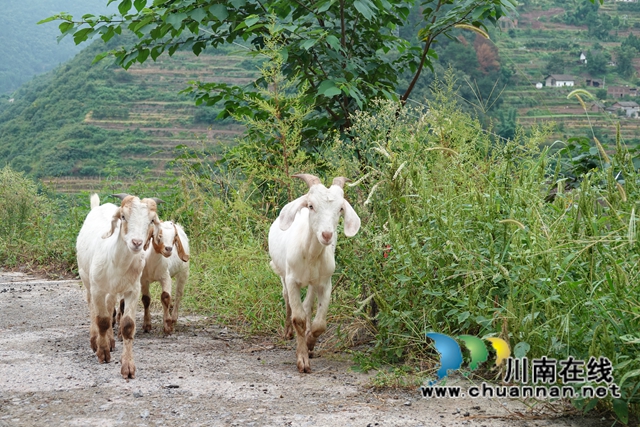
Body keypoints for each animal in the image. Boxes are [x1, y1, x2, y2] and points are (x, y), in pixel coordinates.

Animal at [76, 192, 161, 380]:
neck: (116, 261)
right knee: (92, 306)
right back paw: (95, 340)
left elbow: (127, 325)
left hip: (113, 290)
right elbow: (101, 320)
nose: (136, 242)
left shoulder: (132, 290)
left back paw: (110, 340)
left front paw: (128, 367)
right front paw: (103, 353)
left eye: (151, 220)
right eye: (123, 216)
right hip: (86, 278)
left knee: (109, 307)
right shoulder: (98, 288)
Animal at [268, 172, 362, 372]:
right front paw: (302, 360)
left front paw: (310, 344)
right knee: (286, 296)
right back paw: (287, 332)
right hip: (282, 272)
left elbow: (319, 324)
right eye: (311, 206)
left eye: (340, 209)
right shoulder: (292, 280)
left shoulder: (325, 283)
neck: (310, 255)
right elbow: (298, 319)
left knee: (308, 305)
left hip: (312, 282)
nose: (327, 235)